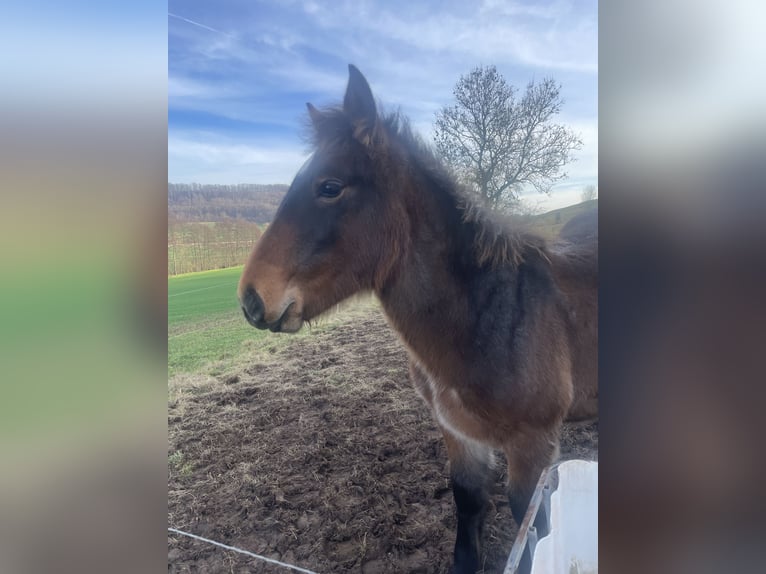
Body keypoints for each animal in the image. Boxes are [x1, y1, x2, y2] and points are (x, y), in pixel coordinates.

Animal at [238, 65, 598, 574]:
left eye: (329, 187)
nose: (252, 298)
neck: (491, 313)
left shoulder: (535, 446)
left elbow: (533, 527)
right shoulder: (458, 432)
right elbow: (468, 504)